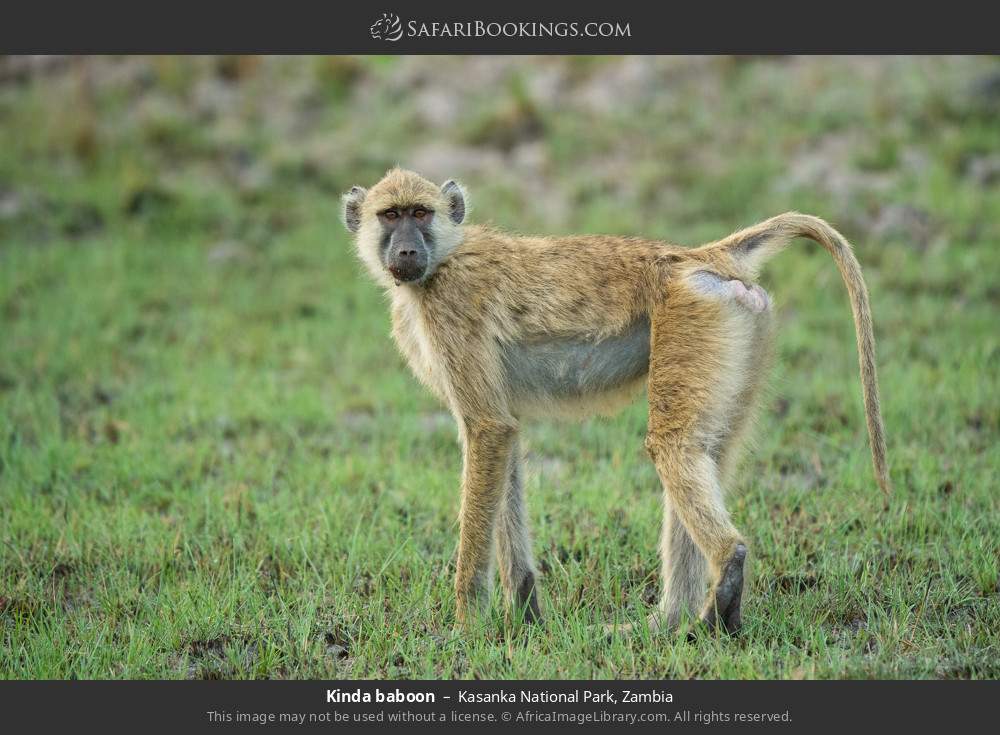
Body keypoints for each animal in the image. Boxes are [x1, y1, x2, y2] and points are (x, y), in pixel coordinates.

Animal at [341, 167, 889, 634]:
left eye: (420, 214)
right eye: (389, 215)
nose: (406, 251)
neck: (443, 261)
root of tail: (701, 257)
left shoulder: (452, 312)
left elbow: (488, 430)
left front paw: (466, 626)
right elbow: (506, 438)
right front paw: (525, 616)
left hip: (691, 316)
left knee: (673, 447)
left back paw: (719, 586)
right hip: (743, 329)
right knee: (708, 451)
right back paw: (669, 623)